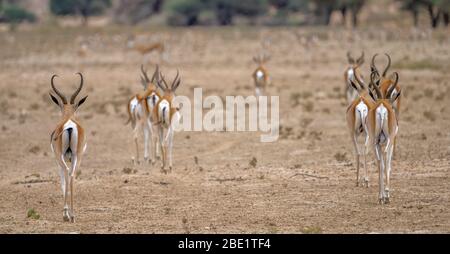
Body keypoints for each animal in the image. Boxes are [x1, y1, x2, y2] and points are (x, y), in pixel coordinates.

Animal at [49, 72, 88, 221]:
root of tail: (70, 126)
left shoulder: (58, 160)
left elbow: (61, 182)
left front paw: (64, 212)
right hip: (78, 156)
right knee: (72, 175)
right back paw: (73, 215)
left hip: (61, 157)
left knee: (66, 174)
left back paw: (67, 215)